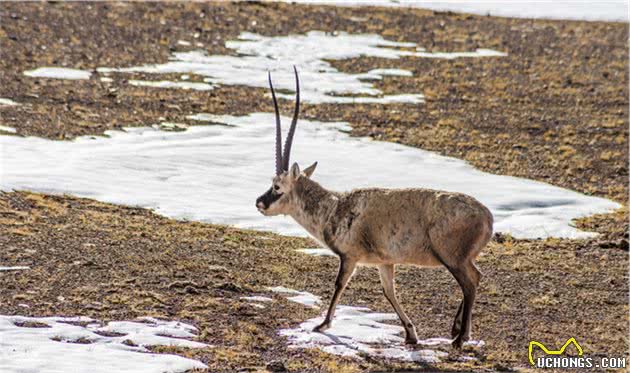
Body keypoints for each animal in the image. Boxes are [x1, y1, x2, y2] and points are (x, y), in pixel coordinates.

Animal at [256, 66, 494, 346]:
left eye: (277, 187)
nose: (259, 202)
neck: (334, 208)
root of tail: (487, 217)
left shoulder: (350, 257)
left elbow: (339, 284)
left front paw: (323, 325)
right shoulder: (385, 262)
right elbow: (388, 291)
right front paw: (410, 334)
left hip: (452, 258)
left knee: (470, 282)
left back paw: (460, 337)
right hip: (459, 259)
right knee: (474, 277)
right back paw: (456, 330)